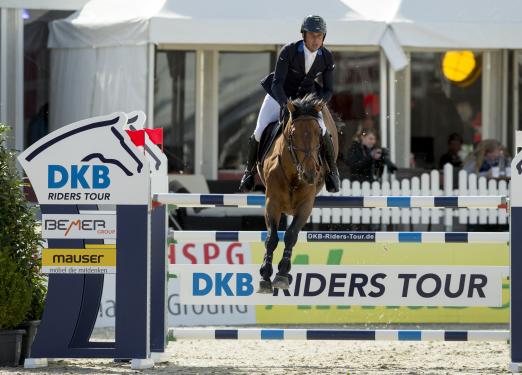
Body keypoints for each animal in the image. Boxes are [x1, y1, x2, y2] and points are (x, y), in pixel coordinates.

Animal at [256, 94, 338, 294]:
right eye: (293, 134)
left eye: (319, 134)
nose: (310, 174)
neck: (294, 172)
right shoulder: (272, 202)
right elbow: (272, 238)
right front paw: (265, 275)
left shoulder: (305, 205)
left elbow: (291, 235)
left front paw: (282, 274)